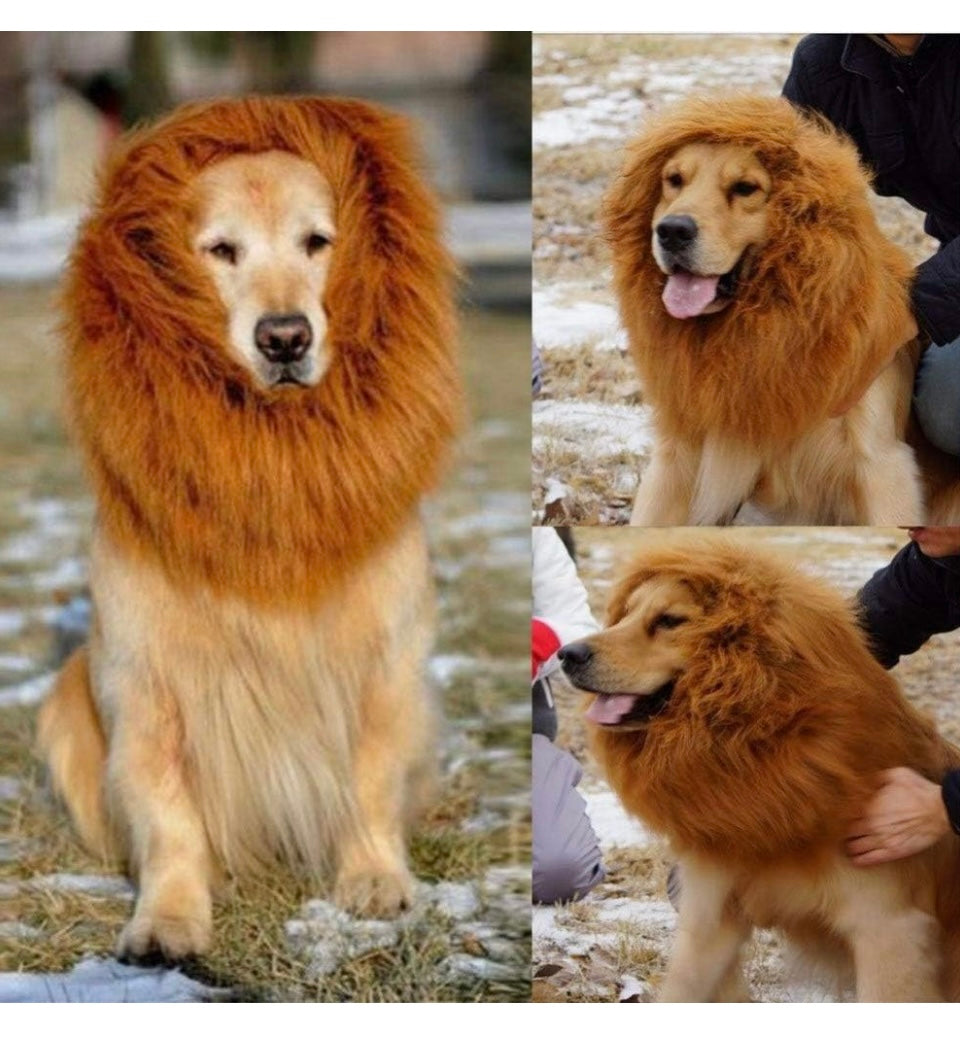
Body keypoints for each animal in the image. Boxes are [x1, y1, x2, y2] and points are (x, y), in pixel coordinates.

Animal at [33, 98, 460, 963]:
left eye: (317, 241)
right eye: (221, 249)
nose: (285, 337)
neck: (271, 464)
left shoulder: (386, 660)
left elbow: (369, 777)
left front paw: (375, 880)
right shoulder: (147, 680)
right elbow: (167, 814)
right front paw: (167, 918)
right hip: (61, 702)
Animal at [559, 538, 958, 1005]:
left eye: (670, 621)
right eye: (625, 615)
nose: (567, 654)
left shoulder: (890, 930)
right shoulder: (709, 917)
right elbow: (681, 990)